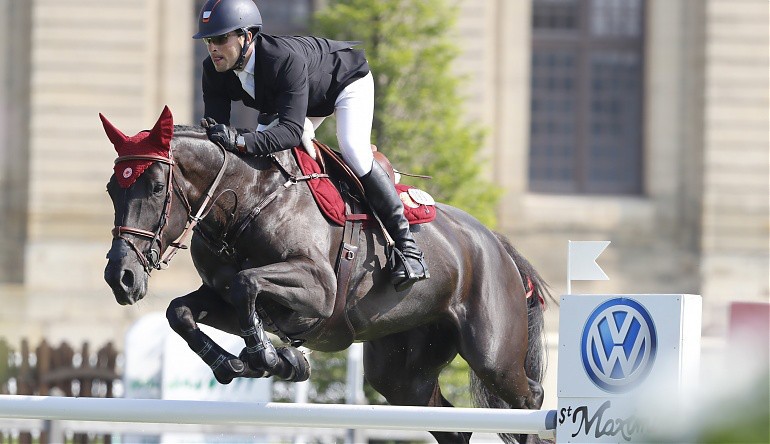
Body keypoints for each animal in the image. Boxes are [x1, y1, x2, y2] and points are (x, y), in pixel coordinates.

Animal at [102, 107, 548, 444]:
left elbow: (247, 284)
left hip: (493, 356)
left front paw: (273, 358)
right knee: (450, 425)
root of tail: (495, 243)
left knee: (529, 400)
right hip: (403, 373)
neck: (246, 200)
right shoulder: (223, 297)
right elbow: (181, 311)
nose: (120, 278)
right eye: (111, 189)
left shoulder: (317, 290)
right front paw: (232, 364)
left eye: (156, 186)